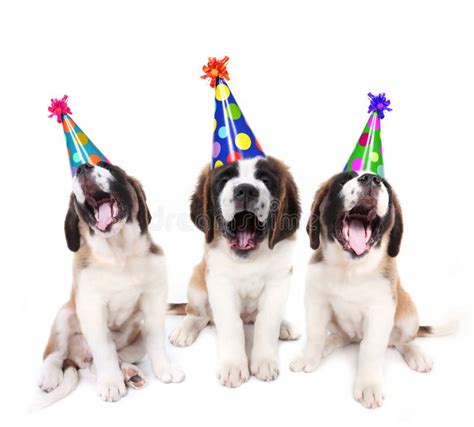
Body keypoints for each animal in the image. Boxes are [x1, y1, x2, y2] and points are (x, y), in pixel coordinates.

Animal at [36, 162, 184, 410]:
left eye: (108, 167)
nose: (82, 168)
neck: (118, 254)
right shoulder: (92, 308)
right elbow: (104, 349)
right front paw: (111, 384)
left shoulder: (154, 300)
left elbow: (155, 341)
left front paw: (165, 369)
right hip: (64, 315)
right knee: (54, 353)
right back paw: (50, 375)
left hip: (137, 338)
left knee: (108, 359)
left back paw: (130, 373)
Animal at [169, 156, 300, 388]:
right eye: (225, 179)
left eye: (265, 180)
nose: (246, 190)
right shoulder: (220, 283)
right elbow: (231, 326)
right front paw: (233, 366)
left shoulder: (279, 281)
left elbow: (267, 321)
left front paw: (265, 361)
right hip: (197, 281)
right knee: (197, 314)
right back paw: (185, 329)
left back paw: (284, 326)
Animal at [290, 172, 446, 410]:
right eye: (342, 181)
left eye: (386, 186)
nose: (371, 179)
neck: (351, 269)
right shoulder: (316, 301)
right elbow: (315, 333)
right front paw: (310, 356)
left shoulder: (380, 311)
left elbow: (371, 349)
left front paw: (369, 385)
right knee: (343, 336)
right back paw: (329, 343)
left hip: (408, 313)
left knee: (401, 341)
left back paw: (416, 354)